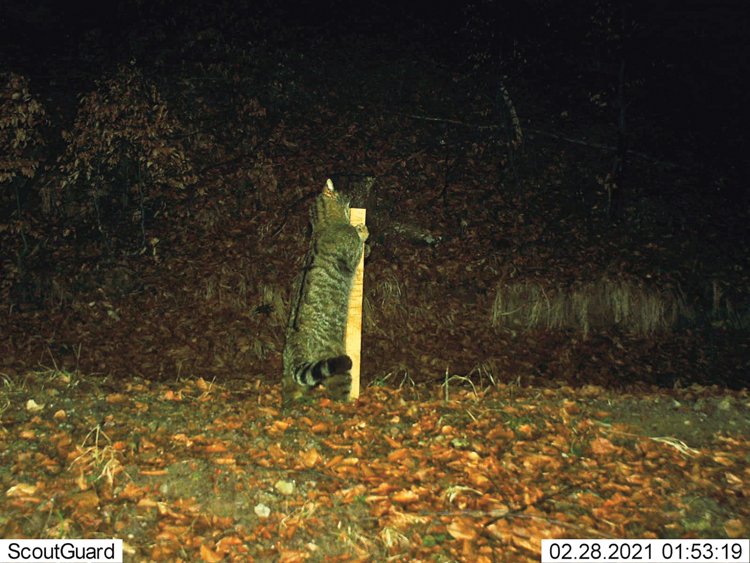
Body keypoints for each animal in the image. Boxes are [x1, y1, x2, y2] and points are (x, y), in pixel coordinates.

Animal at [282, 181, 370, 406]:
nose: (351, 198)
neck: (321, 224)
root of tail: (295, 346)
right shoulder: (351, 248)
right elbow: (359, 246)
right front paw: (363, 233)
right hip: (337, 361)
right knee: (339, 386)